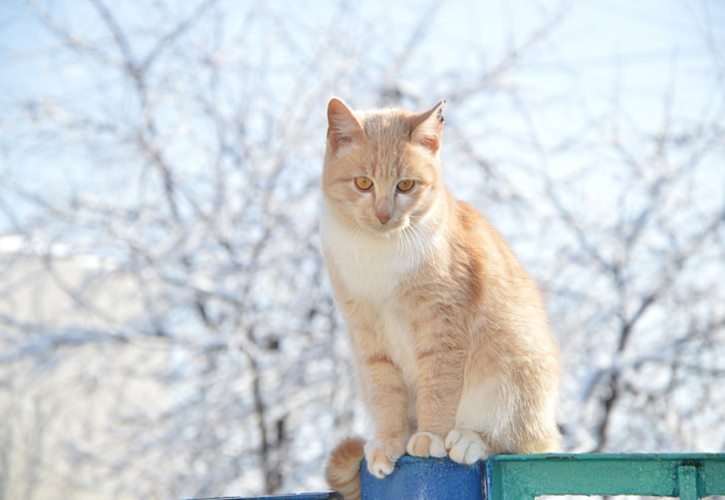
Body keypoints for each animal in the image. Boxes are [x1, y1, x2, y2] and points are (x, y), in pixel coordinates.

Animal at [318, 98, 560, 500]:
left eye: (406, 185)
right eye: (363, 183)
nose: (383, 214)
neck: (380, 253)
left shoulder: (442, 321)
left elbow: (439, 384)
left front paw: (430, 436)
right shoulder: (367, 334)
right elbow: (386, 392)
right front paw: (390, 440)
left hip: (513, 370)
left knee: (521, 442)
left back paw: (469, 439)